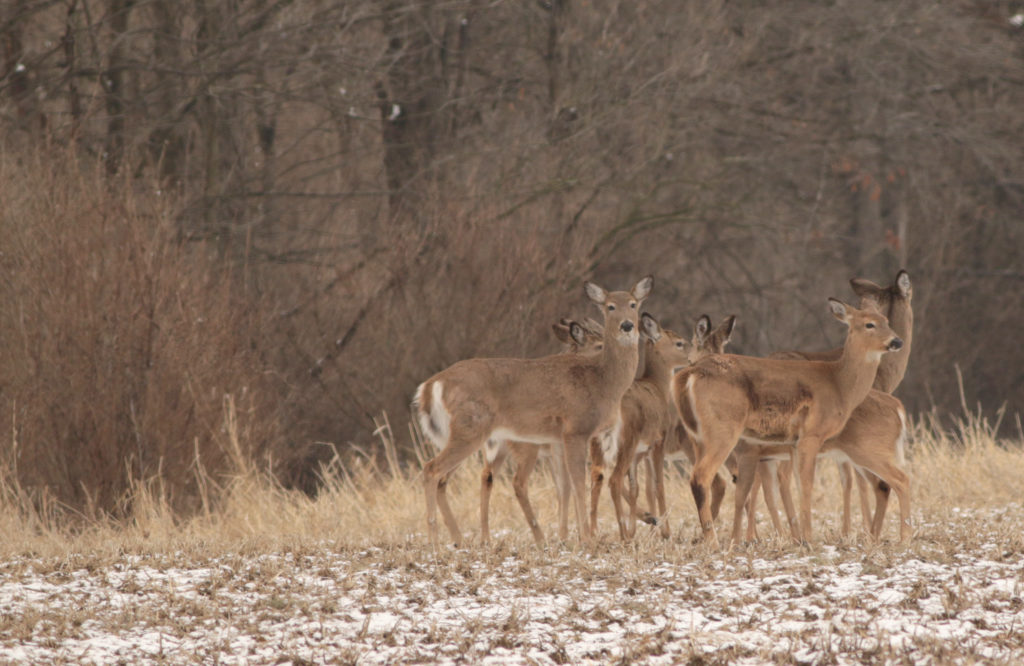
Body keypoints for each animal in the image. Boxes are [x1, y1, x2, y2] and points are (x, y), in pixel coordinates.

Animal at [477, 317, 602, 545]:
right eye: (598, 344)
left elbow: (565, 486)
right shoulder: (557, 445)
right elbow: (566, 485)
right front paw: (567, 534)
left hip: (498, 448)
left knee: (486, 476)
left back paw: (486, 538)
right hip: (526, 447)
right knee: (517, 482)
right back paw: (538, 536)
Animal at [589, 313, 692, 540]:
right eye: (679, 343)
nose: (691, 357)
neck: (658, 388)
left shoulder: (638, 453)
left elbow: (636, 487)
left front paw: (636, 529)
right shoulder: (657, 441)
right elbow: (658, 486)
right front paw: (665, 531)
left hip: (598, 444)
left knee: (596, 478)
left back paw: (593, 533)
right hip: (627, 439)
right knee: (614, 480)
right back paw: (622, 535)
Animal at [671, 299, 905, 549]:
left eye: (887, 321)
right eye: (869, 324)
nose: (896, 341)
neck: (839, 384)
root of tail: (690, 373)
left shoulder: (791, 445)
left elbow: (790, 488)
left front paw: (797, 538)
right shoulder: (810, 435)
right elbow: (804, 486)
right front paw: (806, 538)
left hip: (697, 436)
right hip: (723, 428)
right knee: (701, 477)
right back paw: (713, 541)